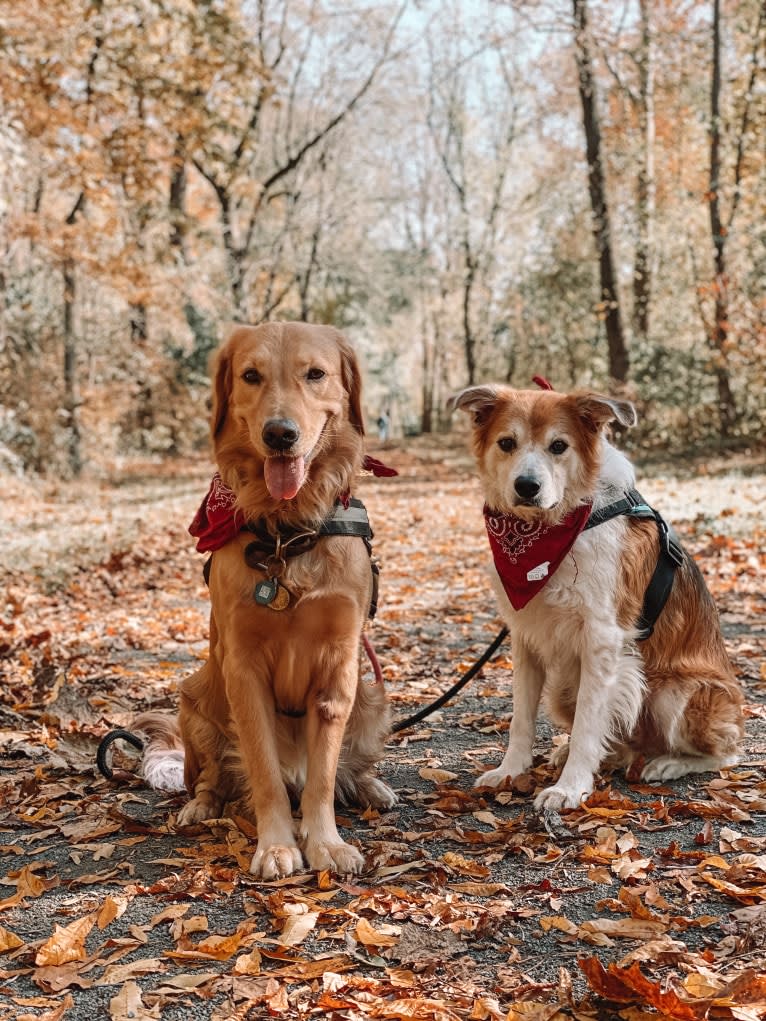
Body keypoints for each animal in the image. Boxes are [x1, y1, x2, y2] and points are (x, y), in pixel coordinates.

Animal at [453, 383, 747, 812]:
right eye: (507, 443)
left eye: (559, 446)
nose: (527, 486)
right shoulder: (526, 637)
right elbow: (521, 718)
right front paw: (511, 770)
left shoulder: (602, 639)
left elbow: (589, 723)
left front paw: (569, 787)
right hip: (564, 689)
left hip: (674, 693)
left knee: (726, 754)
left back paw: (668, 763)